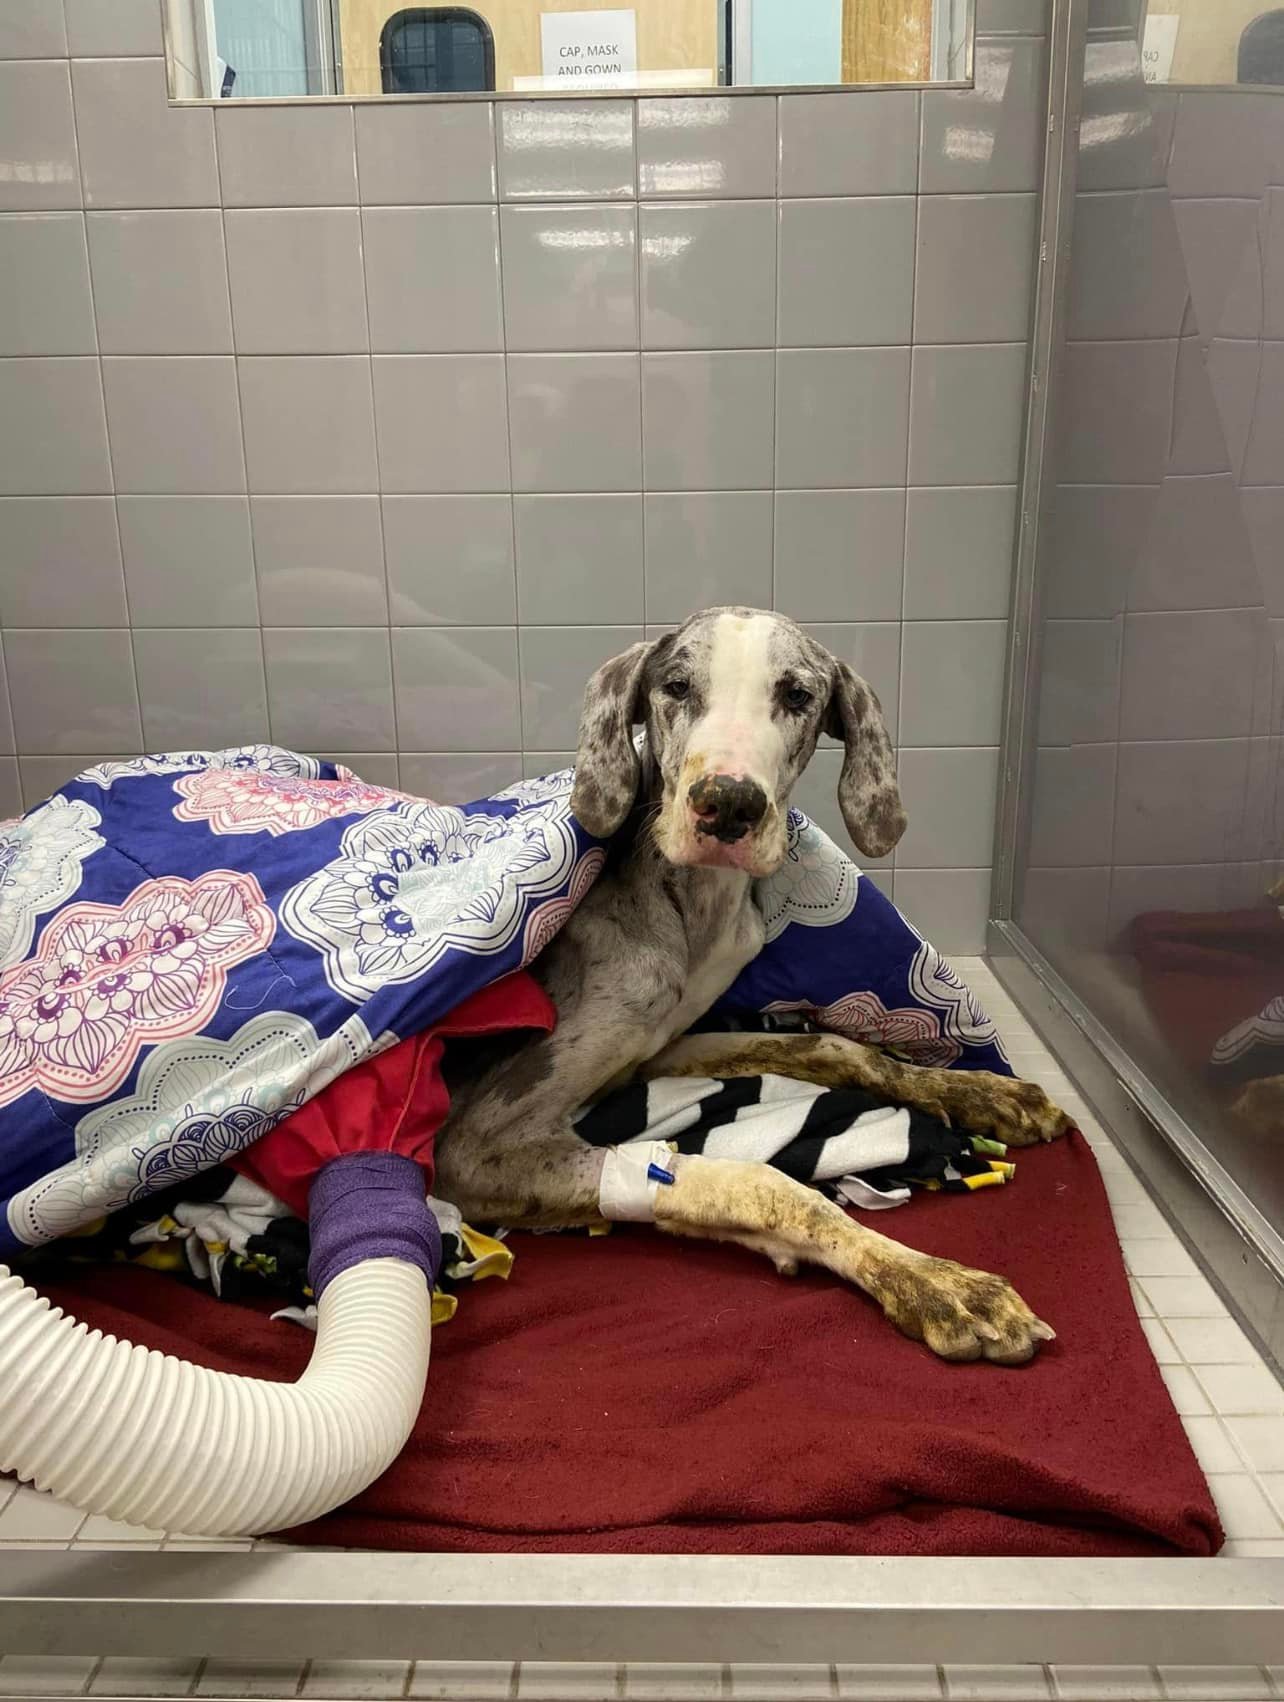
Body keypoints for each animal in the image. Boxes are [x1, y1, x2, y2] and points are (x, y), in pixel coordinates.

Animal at [435, 605, 1062, 1361]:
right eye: (676, 686)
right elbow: (758, 1183)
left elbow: (837, 1048)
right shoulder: (478, 1147)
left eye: (797, 695)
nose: (728, 803)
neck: (689, 913)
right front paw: (934, 1280)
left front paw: (984, 1093)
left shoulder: (653, 1051)